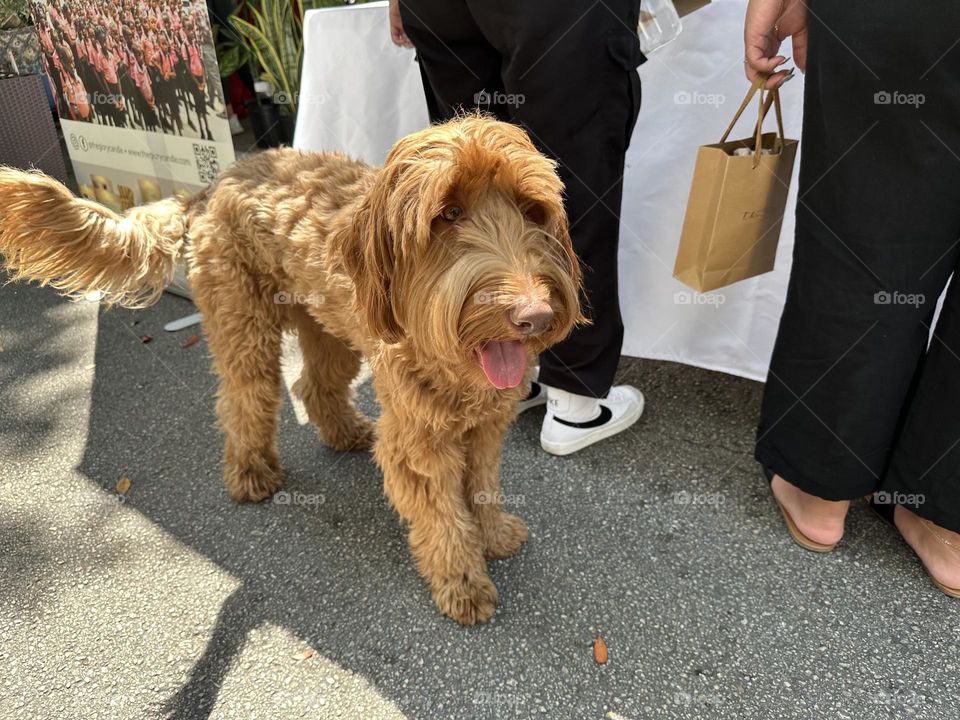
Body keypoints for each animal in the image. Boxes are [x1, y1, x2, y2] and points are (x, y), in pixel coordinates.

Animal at [0, 115, 576, 620]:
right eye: (448, 213)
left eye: (532, 209)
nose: (534, 316)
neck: (457, 360)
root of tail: (215, 183)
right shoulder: (419, 438)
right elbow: (442, 515)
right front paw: (462, 581)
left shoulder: (487, 425)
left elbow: (482, 483)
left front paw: (494, 533)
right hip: (243, 321)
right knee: (244, 396)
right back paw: (250, 473)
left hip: (328, 327)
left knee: (314, 384)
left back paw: (345, 432)